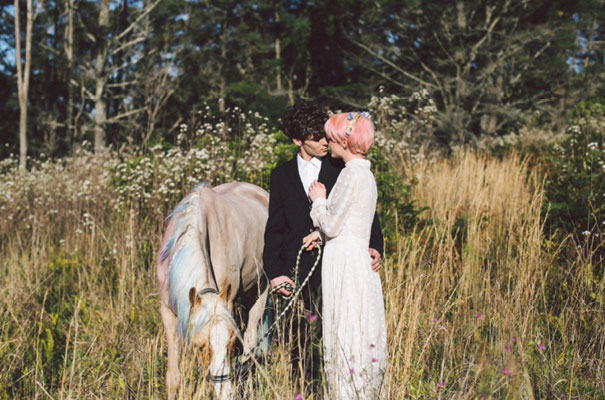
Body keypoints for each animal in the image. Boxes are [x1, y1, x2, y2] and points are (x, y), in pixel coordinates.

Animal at [157, 182, 270, 400]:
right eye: (200, 347)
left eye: (232, 344)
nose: (226, 393)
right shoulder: (168, 313)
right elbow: (173, 377)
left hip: (263, 288)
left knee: (251, 339)